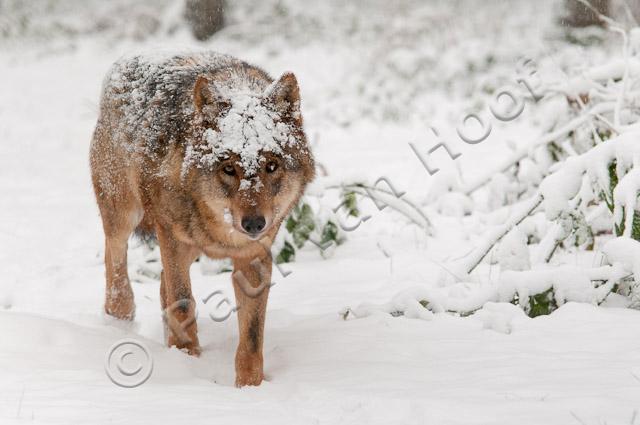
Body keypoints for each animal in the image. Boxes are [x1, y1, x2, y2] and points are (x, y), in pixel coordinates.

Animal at [90, 51, 316, 386]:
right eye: (229, 168)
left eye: (272, 166)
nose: (254, 224)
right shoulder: (171, 238)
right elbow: (183, 303)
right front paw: (186, 363)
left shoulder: (253, 257)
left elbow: (252, 334)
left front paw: (250, 387)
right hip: (125, 216)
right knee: (116, 259)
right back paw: (119, 320)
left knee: (161, 284)